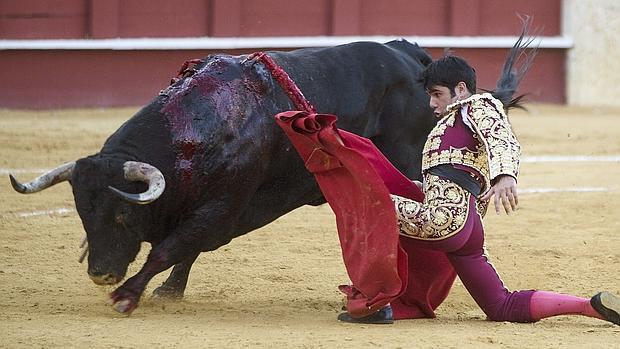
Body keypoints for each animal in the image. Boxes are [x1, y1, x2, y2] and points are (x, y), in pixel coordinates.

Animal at [9, 34, 532, 312]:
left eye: (121, 215)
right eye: (82, 213)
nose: (99, 273)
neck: (197, 128)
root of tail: (411, 55)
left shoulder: (224, 203)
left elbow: (171, 246)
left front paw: (128, 294)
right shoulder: (219, 208)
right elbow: (187, 246)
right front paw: (169, 292)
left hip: (412, 170)